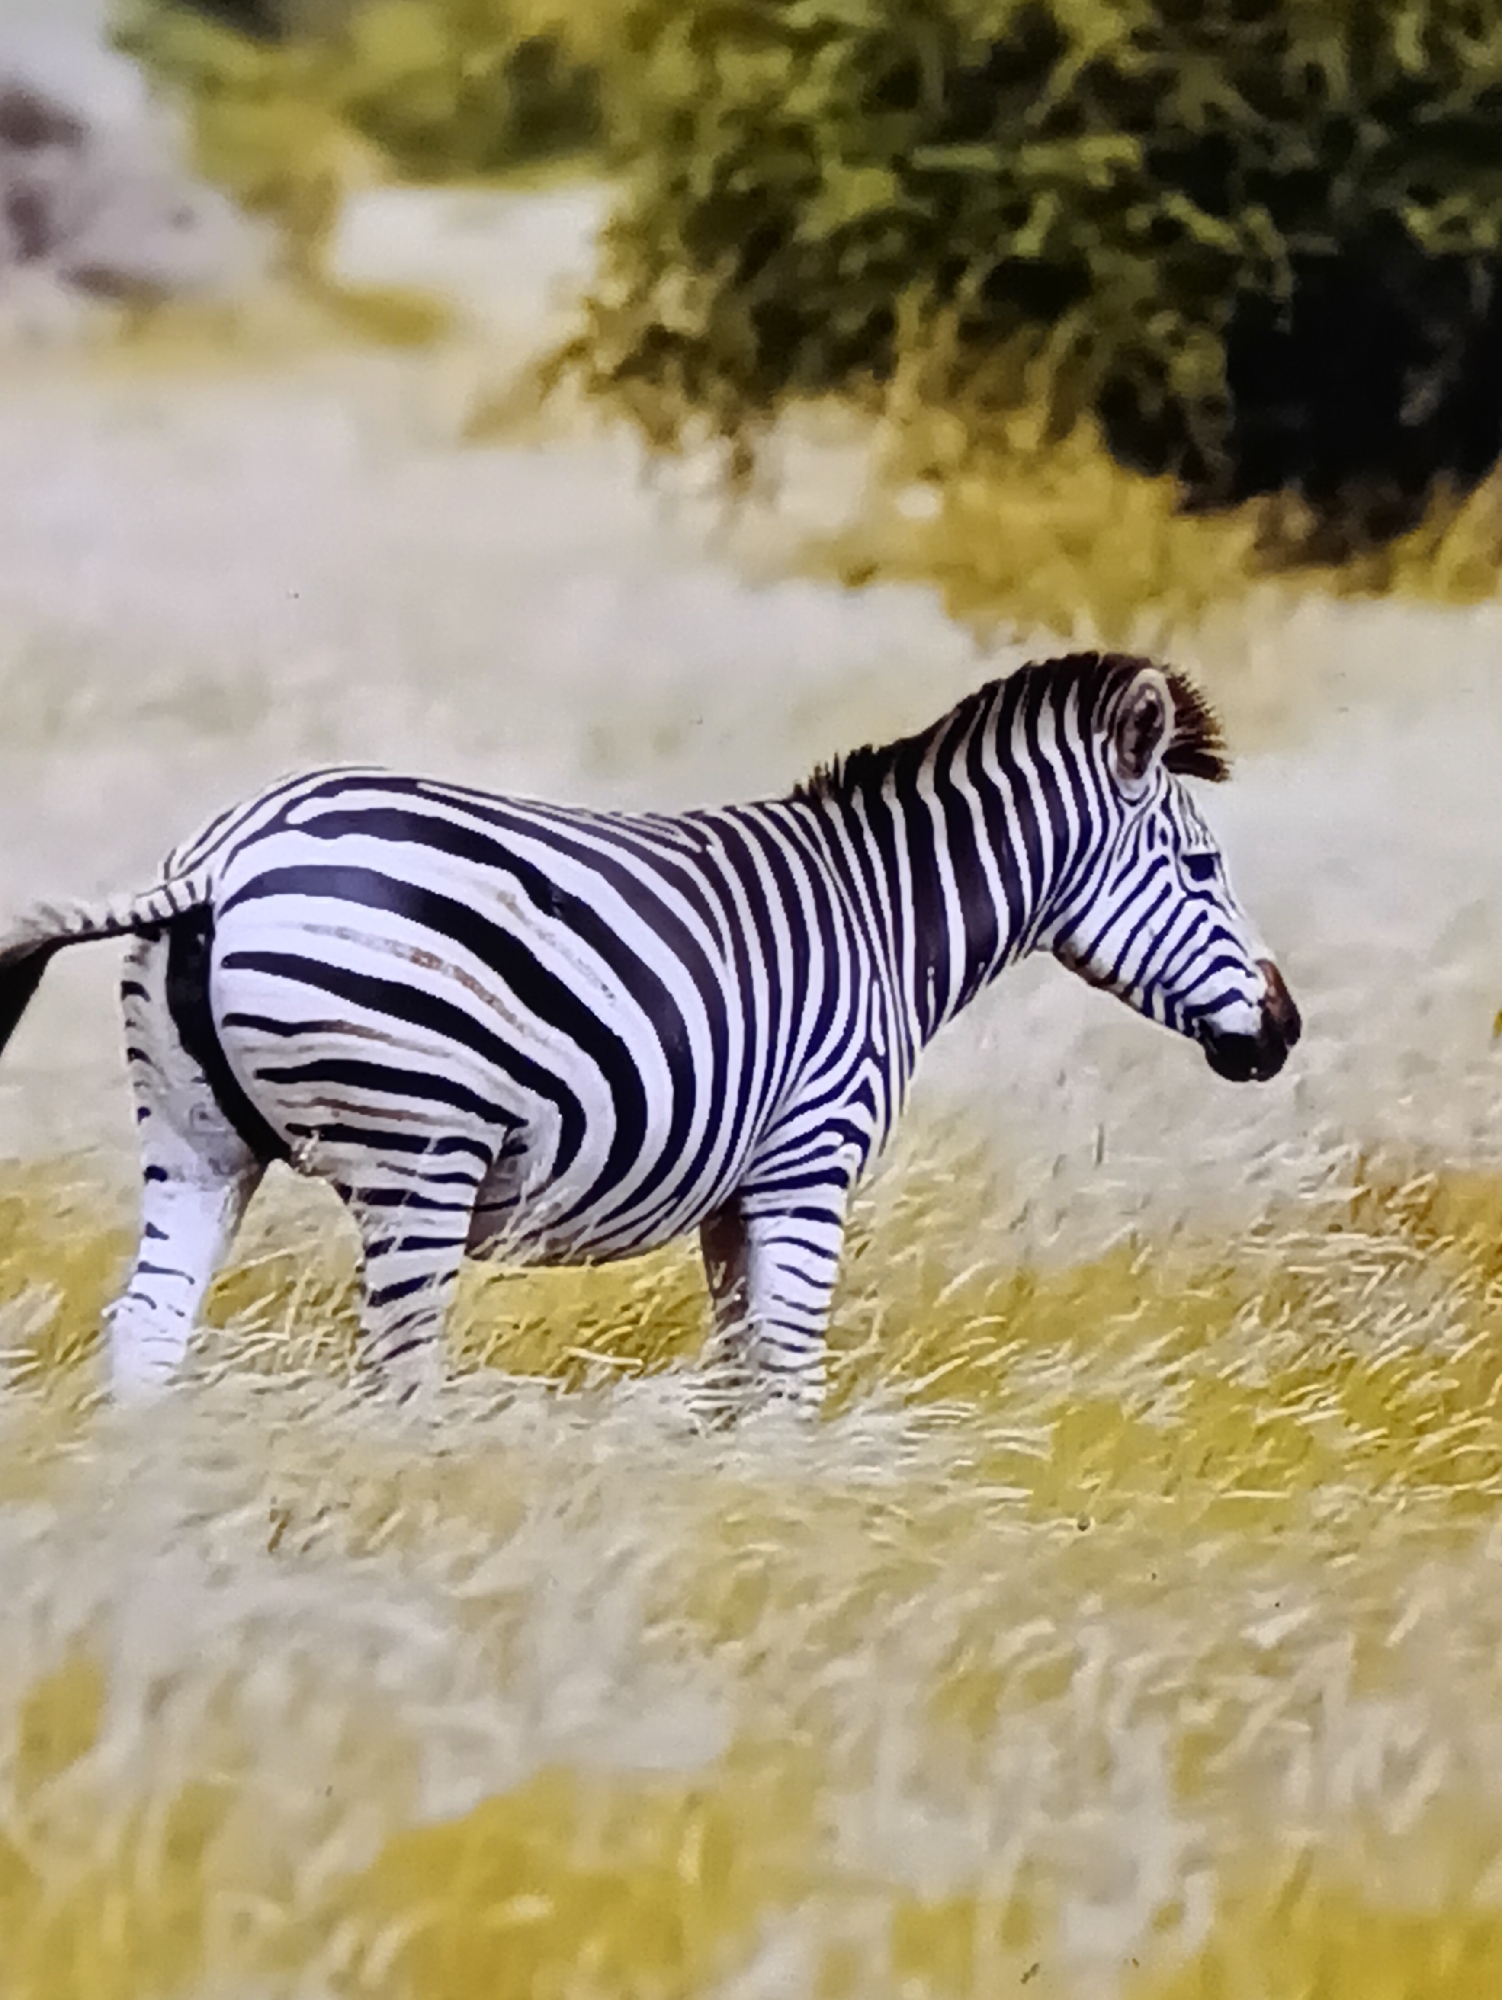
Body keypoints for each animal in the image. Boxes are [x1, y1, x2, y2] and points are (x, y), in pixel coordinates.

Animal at [0, 651, 1300, 1410]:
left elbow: (737, 1378)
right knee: (396, 1371)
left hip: (194, 1138)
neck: (885, 914)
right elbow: (788, 1377)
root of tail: (228, 856)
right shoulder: (809, 1160)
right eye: (1202, 866)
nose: (1282, 1029)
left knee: (147, 1333)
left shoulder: (735, 1190)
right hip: (420, 1153)